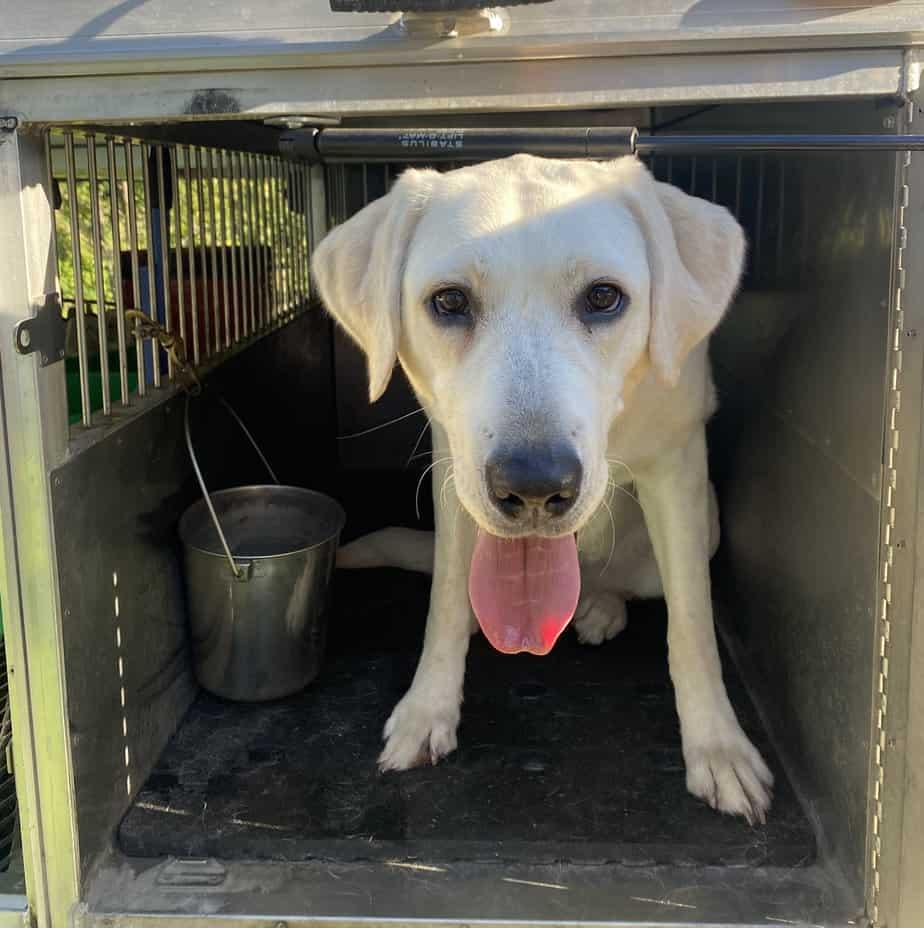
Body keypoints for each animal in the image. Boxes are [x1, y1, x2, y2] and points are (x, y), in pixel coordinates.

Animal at [314, 156, 776, 824]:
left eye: (604, 297)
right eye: (449, 301)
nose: (534, 486)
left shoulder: (678, 466)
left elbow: (691, 624)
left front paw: (718, 747)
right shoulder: (452, 469)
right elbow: (445, 603)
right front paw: (428, 709)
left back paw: (602, 606)